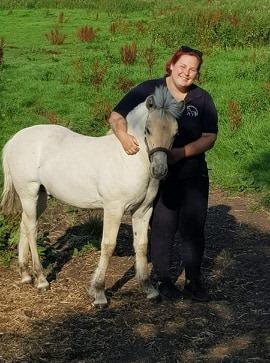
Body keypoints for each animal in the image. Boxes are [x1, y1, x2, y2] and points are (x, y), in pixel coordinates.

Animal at [0, 86, 185, 308]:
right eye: (148, 130)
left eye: (176, 133)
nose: (159, 170)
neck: (127, 159)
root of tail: (14, 140)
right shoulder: (114, 209)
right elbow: (108, 246)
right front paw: (99, 294)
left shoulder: (143, 211)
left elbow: (141, 246)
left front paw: (149, 290)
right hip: (29, 194)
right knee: (31, 229)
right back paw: (41, 279)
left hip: (40, 197)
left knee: (24, 224)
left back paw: (26, 275)